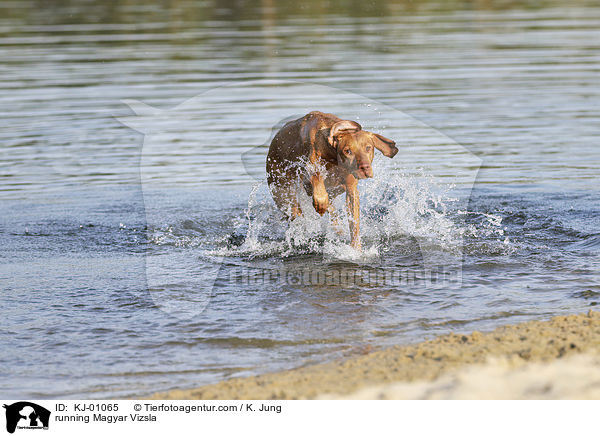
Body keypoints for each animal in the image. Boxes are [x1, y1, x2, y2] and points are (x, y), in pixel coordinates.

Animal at [268, 110, 398, 250]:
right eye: (348, 151)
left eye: (368, 148)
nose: (365, 168)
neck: (332, 155)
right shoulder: (309, 172)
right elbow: (317, 180)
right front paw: (320, 203)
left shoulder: (351, 189)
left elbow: (354, 223)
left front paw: (356, 248)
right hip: (283, 195)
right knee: (296, 213)